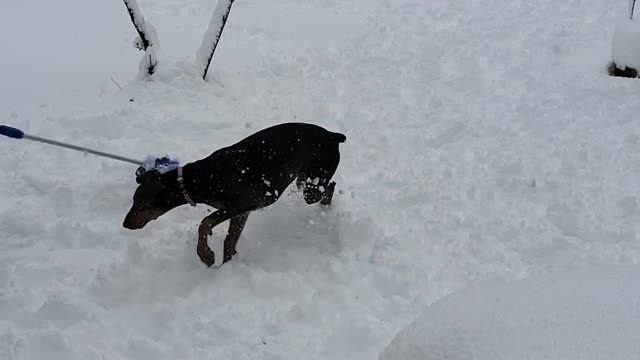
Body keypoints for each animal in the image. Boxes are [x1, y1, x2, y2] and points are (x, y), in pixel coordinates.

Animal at [123, 122, 348, 266]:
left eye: (141, 204)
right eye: (133, 201)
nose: (125, 224)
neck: (201, 178)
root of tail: (332, 135)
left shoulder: (242, 203)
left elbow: (205, 223)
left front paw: (206, 256)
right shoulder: (241, 212)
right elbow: (230, 240)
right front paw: (228, 264)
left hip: (312, 185)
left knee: (329, 186)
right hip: (303, 180)